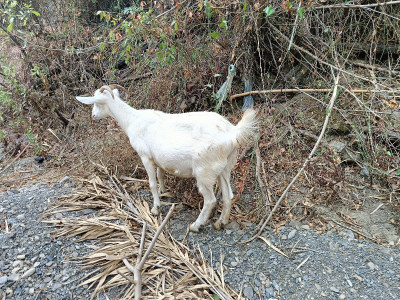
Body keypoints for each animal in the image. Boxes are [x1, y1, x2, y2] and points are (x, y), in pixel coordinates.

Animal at [76, 84, 258, 232]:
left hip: (204, 170)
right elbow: (160, 175)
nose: (93, 116)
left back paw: (196, 226)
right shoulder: (157, 159)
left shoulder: (145, 157)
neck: (132, 120)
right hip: (225, 166)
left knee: (210, 200)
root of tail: (232, 132)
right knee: (228, 195)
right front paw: (164, 191)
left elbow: (151, 183)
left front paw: (156, 208)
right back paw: (221, 222)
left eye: (97, 102)